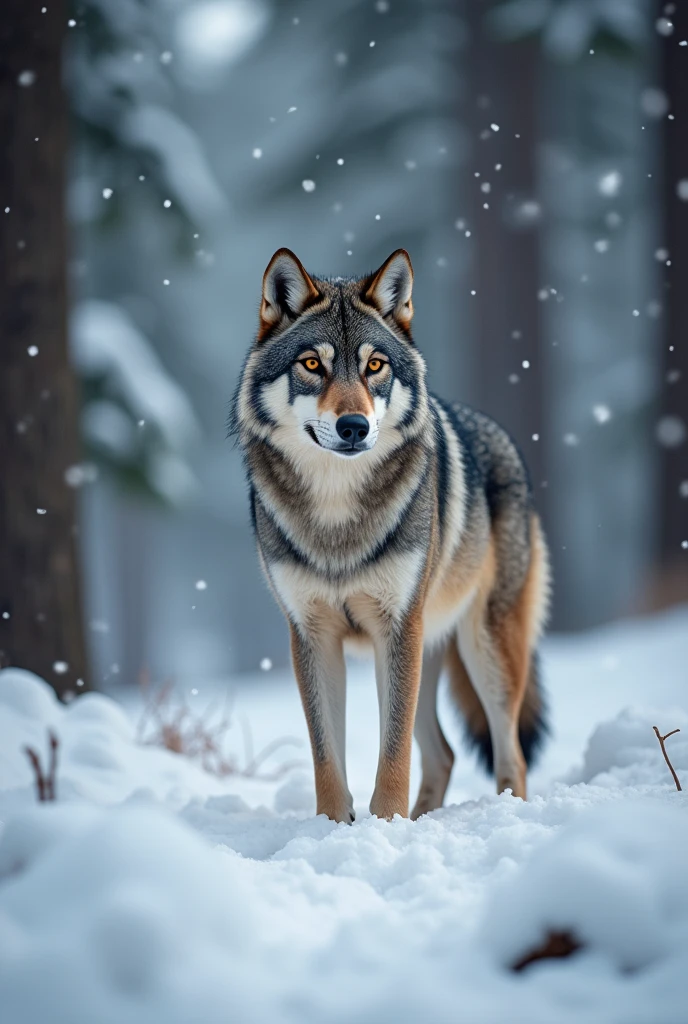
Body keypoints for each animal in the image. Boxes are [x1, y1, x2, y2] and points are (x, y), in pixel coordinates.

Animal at [233, 249, 552, 823]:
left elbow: (394, 751)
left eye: (375, 366)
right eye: (312, 365)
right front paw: (335, 827)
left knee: (509, 753)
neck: (336, 516)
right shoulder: (311, 635)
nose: (354, 426)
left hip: (482, 647)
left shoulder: (396, 628)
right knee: (445, 753)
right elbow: (326, 758)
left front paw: (385, 825)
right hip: (431, 648)